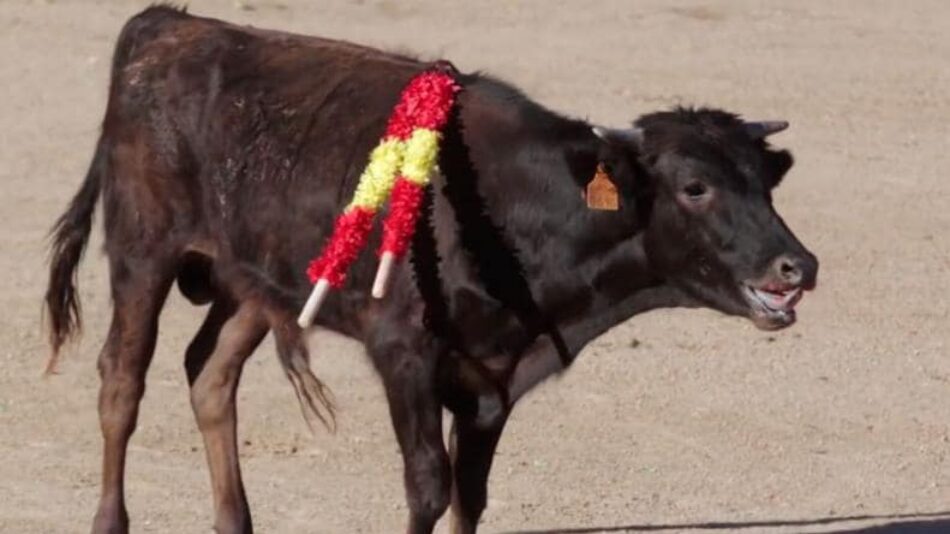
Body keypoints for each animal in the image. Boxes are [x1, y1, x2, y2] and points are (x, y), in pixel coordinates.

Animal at [44, 5, 820, 534]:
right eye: (695, 186)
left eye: (764, 181)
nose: (799, 266)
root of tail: (167, 25)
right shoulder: (405, 354)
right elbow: (427, 485)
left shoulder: (493, 377)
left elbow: (470, 494)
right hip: (143, 253)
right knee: (121, 383)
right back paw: (110, 521)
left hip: (249, 285)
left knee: (210, 376)